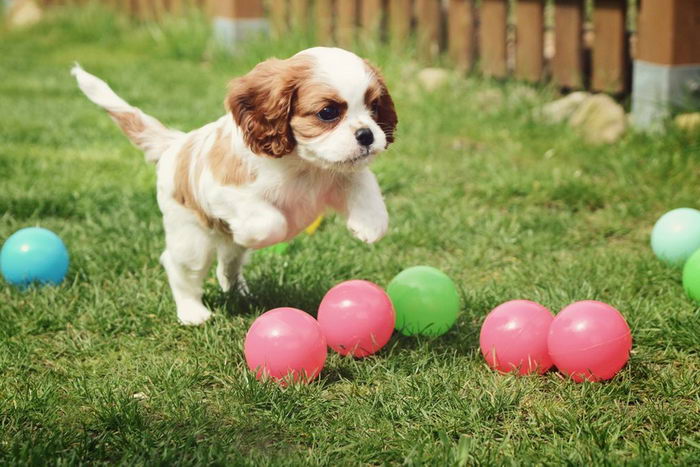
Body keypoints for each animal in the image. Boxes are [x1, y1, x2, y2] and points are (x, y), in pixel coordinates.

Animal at [74, 47, 400, 326]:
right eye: (328, 112)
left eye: (374, 107)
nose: (367, 135)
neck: (303, 164)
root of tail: (174, 143)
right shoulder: (223, 191)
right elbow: (271, 221)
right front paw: (257, 233)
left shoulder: (341, 172)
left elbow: (363, 185)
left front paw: (370, 224)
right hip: (191, 239)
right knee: (178, 266)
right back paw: (192, 312)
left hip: (225, 249)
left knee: (228, 263)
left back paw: (238, 290)